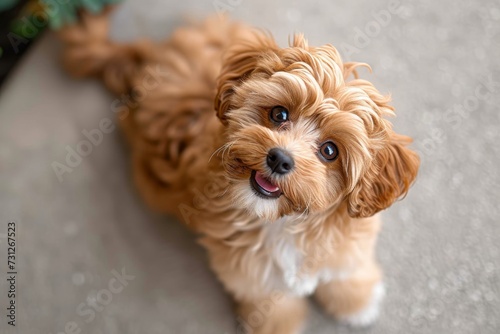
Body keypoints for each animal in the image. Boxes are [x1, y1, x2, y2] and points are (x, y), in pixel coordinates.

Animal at [57, 9, 418, 332]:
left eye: (330, 151)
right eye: (279, 114)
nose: (279, 159)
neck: (286, 224)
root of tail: (149, 56)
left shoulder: (348, 244)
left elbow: (346, 272)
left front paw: (357, 302)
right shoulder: (249, 275)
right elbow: (272, 302)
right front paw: (278, 326)